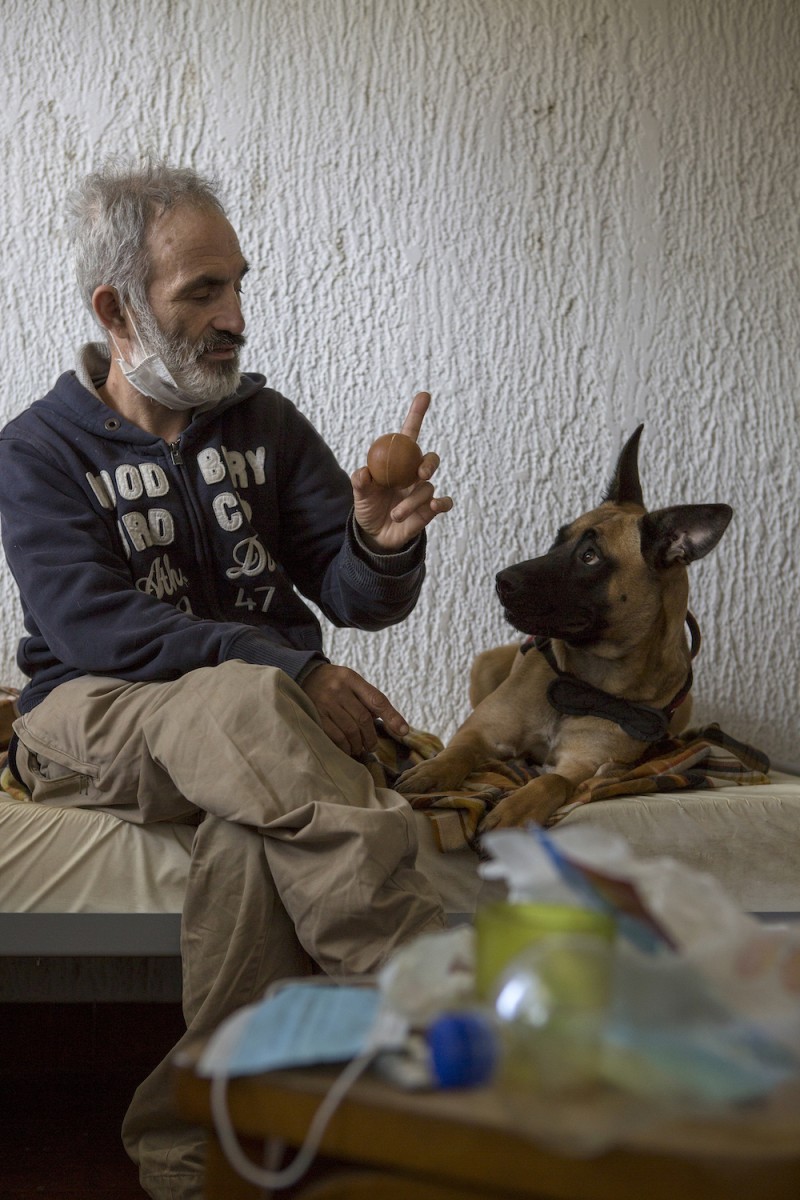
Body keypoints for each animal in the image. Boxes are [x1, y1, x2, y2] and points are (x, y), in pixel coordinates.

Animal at [398, 427, 734, 830]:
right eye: (558, 540)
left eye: (590, 557)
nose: (501, 581)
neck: (583, 683)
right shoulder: (480, 733)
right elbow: (456, 752)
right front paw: (431, 771)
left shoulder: (585, 766)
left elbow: (553, 780)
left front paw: (516, 810)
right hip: (485, 664)